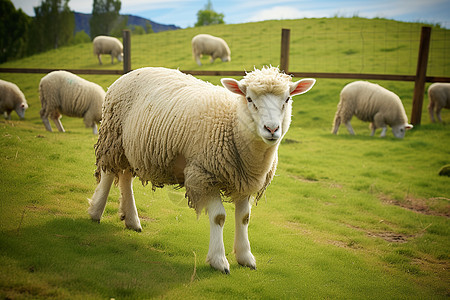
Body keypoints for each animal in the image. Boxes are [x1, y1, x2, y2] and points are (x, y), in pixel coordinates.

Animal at [86, 67, 314, 274]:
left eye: (287, 99)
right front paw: (219, 261)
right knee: (108, 174)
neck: (232, 124)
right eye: (249, 99)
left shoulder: (244, 180)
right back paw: (96, 212)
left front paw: (245, 257)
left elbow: (244, 218)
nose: (272, 129)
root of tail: (130, 72)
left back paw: (132, 220)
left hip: (132, 149)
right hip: (113, 138)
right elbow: (219, 217)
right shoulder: (204, 175)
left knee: (125, 177)